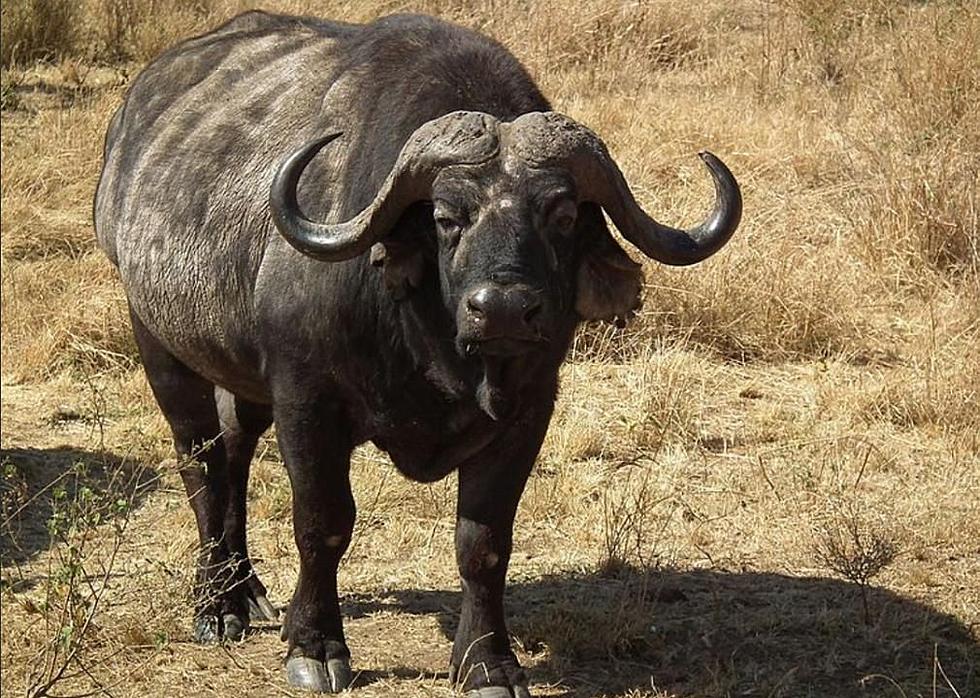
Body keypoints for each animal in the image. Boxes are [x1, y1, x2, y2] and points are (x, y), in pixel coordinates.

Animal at [94, 10, 744, 696]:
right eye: (445, 215)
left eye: (563, 214)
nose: (503, 308)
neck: (432, 348)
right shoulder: (307, 401)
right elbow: (322, 522)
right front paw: (315, 645)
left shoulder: (528, 411)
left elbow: (483, 541)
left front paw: (488, 661)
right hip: (159, 342)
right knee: (203, 463)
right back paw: (216, 605)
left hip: (239, 372)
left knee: (236, 448)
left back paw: (246, 591)